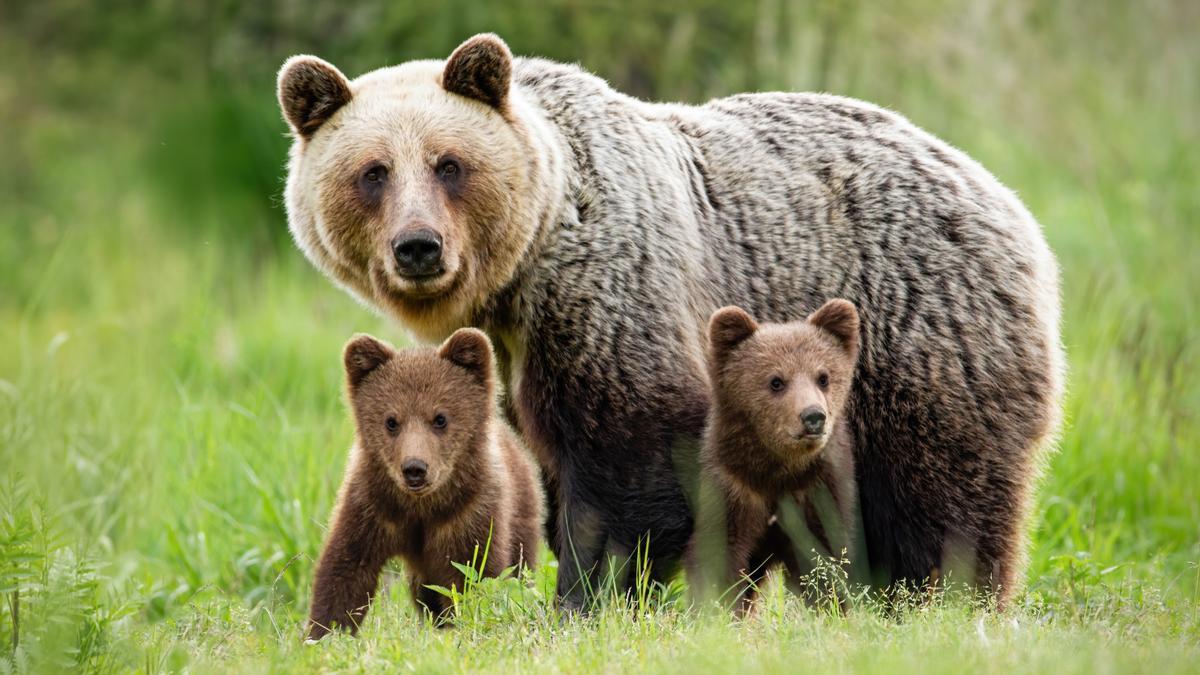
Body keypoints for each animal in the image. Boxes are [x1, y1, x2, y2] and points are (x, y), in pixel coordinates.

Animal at [305, 329, 542, 640]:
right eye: (391, 421)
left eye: (440, 418)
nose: (414, 468)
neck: (421, 507)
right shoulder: (371, 506)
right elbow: (345, 569)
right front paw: (324, 633)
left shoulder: (470, 514)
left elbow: (475, 574)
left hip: (521, 511)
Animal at [688, 300, 860, 615]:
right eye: (776, 381)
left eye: (823, 377)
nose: (813, 416)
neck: (777, 474)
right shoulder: (734, 489)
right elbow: (719, 554)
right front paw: (716, 608)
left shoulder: (817, 491)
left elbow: (825, 558)